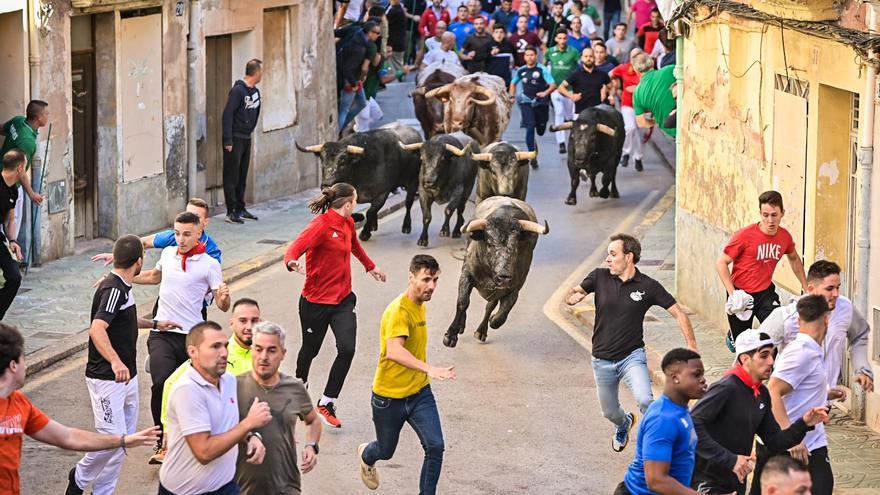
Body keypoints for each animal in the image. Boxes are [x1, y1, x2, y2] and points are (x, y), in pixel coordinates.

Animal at [444, 196, 548, 346]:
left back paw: (481, 331)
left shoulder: (514, 288)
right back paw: (462, 326)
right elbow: (463, 302)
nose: (504, 277)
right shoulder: (467, 274)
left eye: (516, 245)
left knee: (490, 306)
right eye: (490, 243)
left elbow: (501, 315)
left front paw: (493, 319)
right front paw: (451, 335)